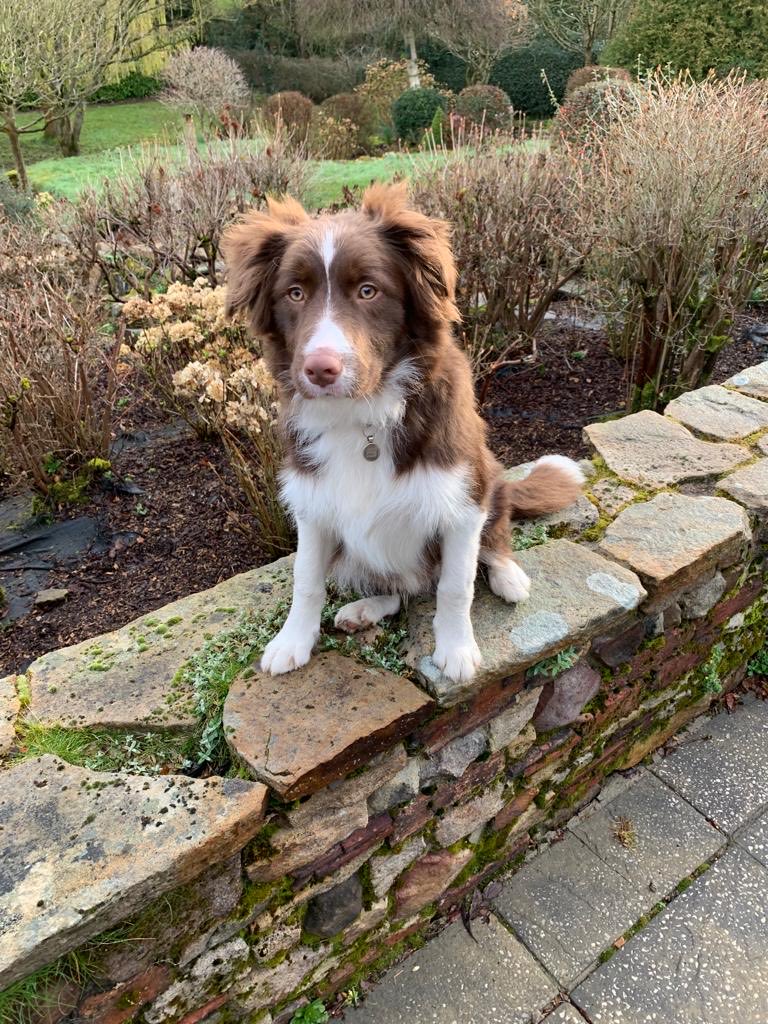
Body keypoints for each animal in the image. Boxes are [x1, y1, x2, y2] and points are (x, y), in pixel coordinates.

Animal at [225, 183, 585, 684]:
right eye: (294, 293)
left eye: (368, 290)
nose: (319, 369)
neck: (365, 415)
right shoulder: (313, 502)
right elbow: (306, 579)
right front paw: (292, 641)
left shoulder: (462, 503)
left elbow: (456, 585)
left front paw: (456, 650)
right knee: (396, 589)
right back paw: (363, 609)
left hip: (490, 478)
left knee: (493, 542)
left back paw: (508, 576)